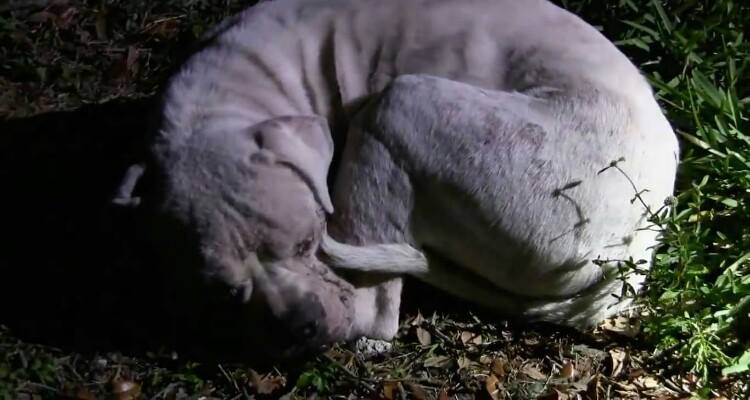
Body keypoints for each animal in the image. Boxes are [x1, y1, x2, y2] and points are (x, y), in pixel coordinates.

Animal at [116, 0, 680, 356]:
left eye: (304, 243)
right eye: (226, 291)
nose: (302, 327)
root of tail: (629, 245)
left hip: (400, 107)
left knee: (376, 311)